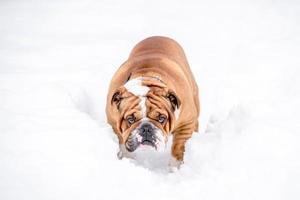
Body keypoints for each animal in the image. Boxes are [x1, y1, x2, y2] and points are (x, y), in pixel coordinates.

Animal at [105, 36, 199, 170]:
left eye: (162, 118)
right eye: (130, 119)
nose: (146, 128)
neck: (146, 78)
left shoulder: (186, 123)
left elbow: (178, 147)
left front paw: (175, 168)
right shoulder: (114, 123)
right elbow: (123, 142)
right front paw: (128, 160)